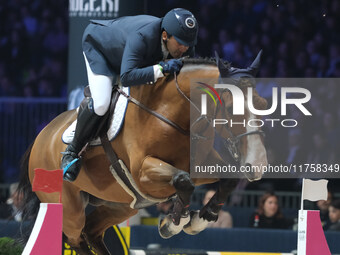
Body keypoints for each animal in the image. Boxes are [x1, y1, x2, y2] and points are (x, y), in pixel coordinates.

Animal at [17, 52, 268, 254]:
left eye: (263, 104)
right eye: (230, 108)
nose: (258, 165)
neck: (177, 115)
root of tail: (40, 137)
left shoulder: (203, 164)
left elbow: (228, 179)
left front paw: (201, 219)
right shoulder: (144, 174)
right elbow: (183, 181)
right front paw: (173, 224)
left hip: (119, 205)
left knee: (92, 231)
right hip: (70, 208)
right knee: (76, 237)